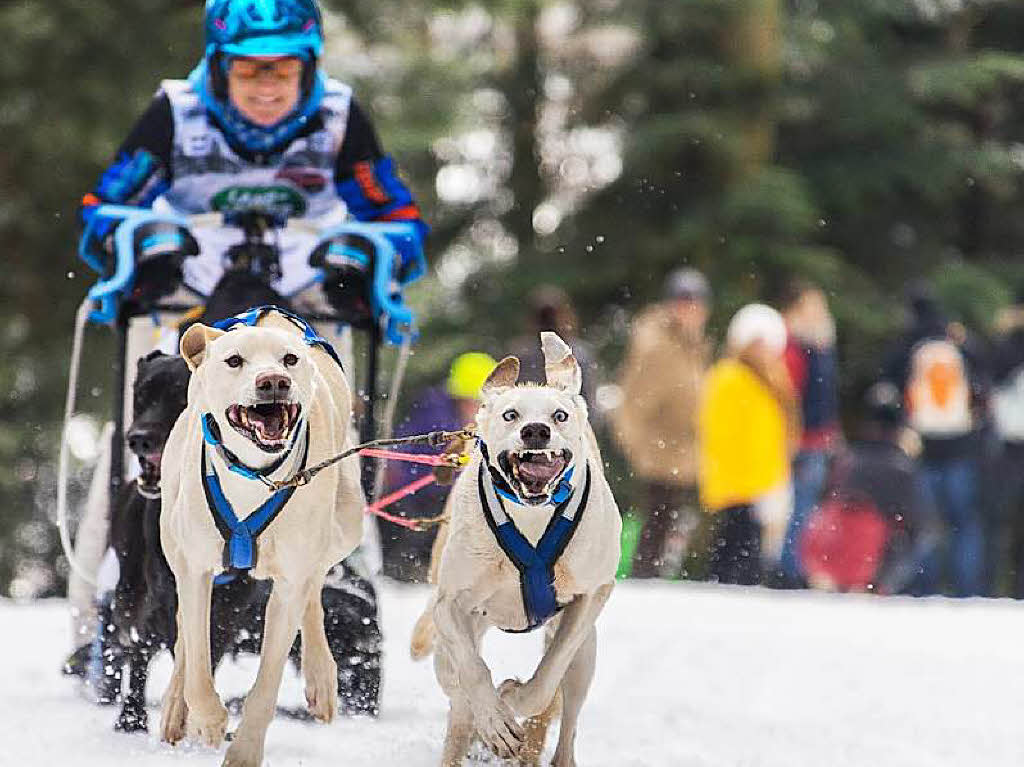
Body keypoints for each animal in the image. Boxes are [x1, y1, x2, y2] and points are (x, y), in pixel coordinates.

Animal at [157, 311, 366, 765]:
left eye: (289, 359)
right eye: (234, 361)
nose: (273, 381)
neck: (256, 475)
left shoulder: (288, 585)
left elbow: (266, 685)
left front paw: (244, 752)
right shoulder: (196, 569)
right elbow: (197, 663)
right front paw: (208, 720)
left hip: (345, 525)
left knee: (315, 586)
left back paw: (321, 678)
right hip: (171, 539)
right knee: (184, 634)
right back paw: (175, 708)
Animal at [425, 333, 622, 765]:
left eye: (559, 416)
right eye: (510, 415)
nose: (535, 431)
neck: (531, 517)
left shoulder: (590, 597)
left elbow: (546, 681)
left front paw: (513, 697)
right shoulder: (450, 604)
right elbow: (472, 671)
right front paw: (493, 719)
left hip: (586, 655)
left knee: (567, 713)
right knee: (455, 690)